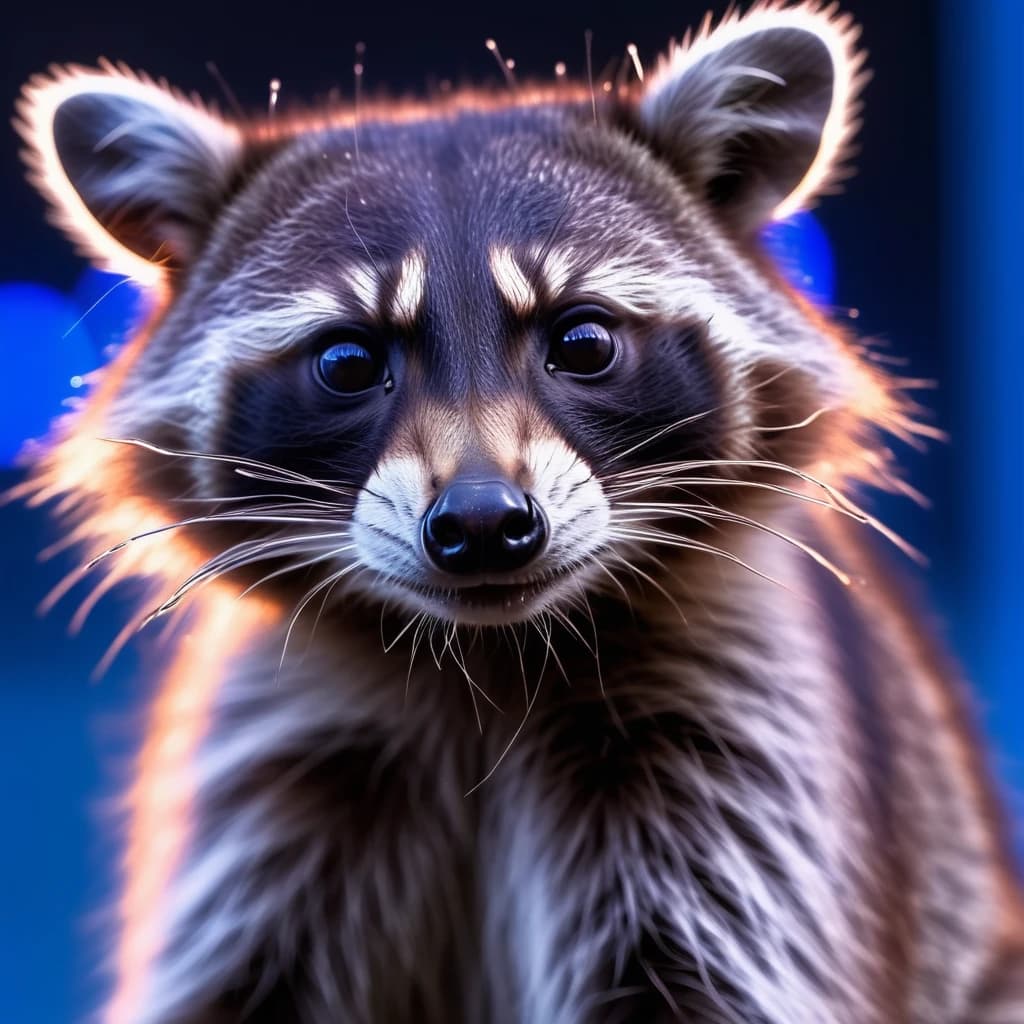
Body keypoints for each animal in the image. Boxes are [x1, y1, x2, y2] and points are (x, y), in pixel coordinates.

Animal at [12, 3, 1024, 1022]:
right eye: (348, 361)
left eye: (582, 342)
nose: (482, 524)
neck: (486, 661)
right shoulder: (281, 770)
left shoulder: (738, 749)